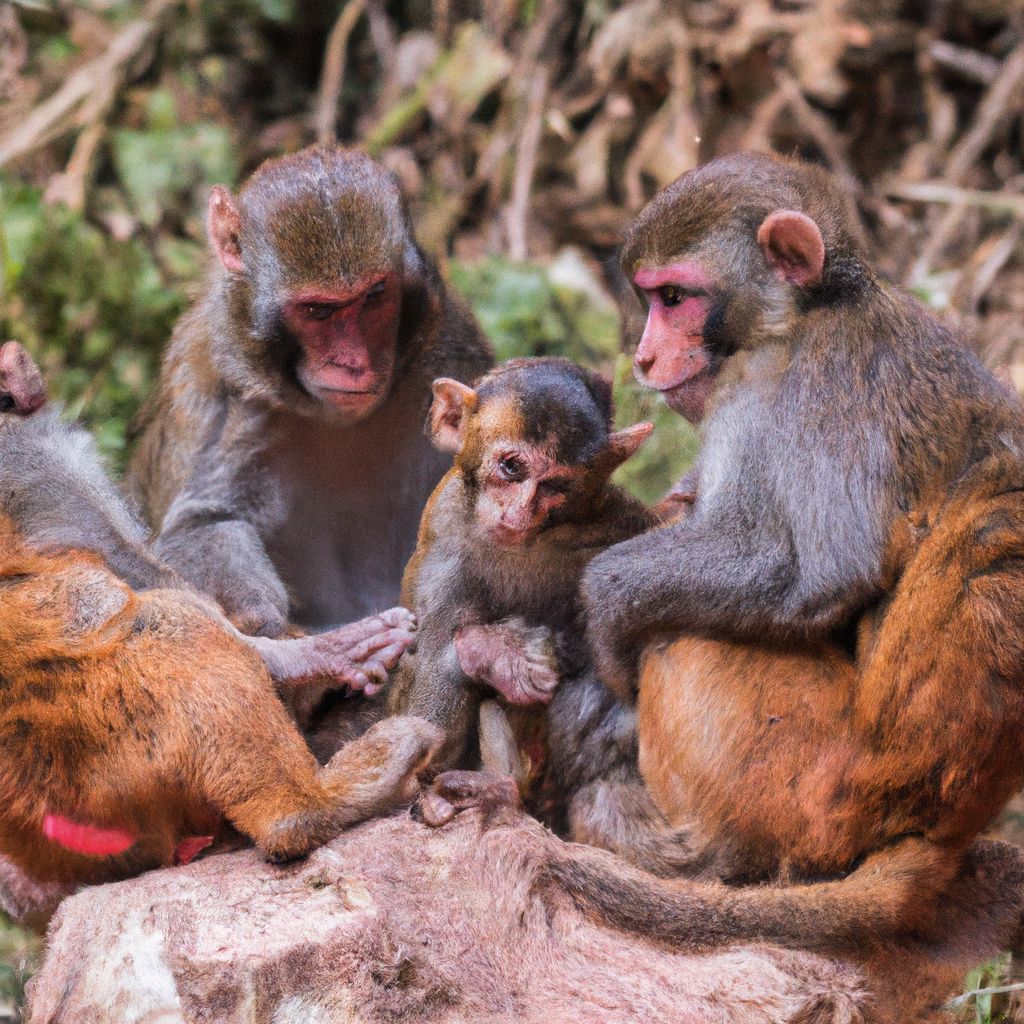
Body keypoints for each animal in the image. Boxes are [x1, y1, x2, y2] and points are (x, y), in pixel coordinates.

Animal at [125, 146, 493, 638]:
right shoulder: (232, 400)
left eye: (374, 295)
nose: (354, 362)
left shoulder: (449, 351)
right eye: (319, 311)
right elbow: (200, 522)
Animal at [385, 356, 704, 876]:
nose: (519, 515)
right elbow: (432, 670)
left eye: (556, 485)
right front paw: (500, 656)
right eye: (511, 467)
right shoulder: (447, 535)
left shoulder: (612, 519)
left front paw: (501, 653)